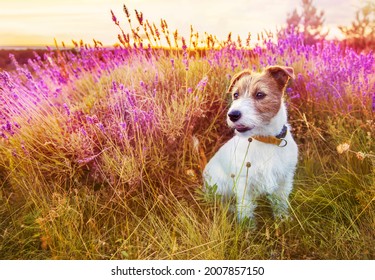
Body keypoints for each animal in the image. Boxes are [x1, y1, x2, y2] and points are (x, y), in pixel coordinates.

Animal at [204, 64, 298, 224]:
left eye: (260, 94)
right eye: (236, 95)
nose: (233, 115)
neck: (266, 140)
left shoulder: (284, 179)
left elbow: (280, 203)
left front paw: (283, 219)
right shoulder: (244, 184)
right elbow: (246, 209)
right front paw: (247, 228)